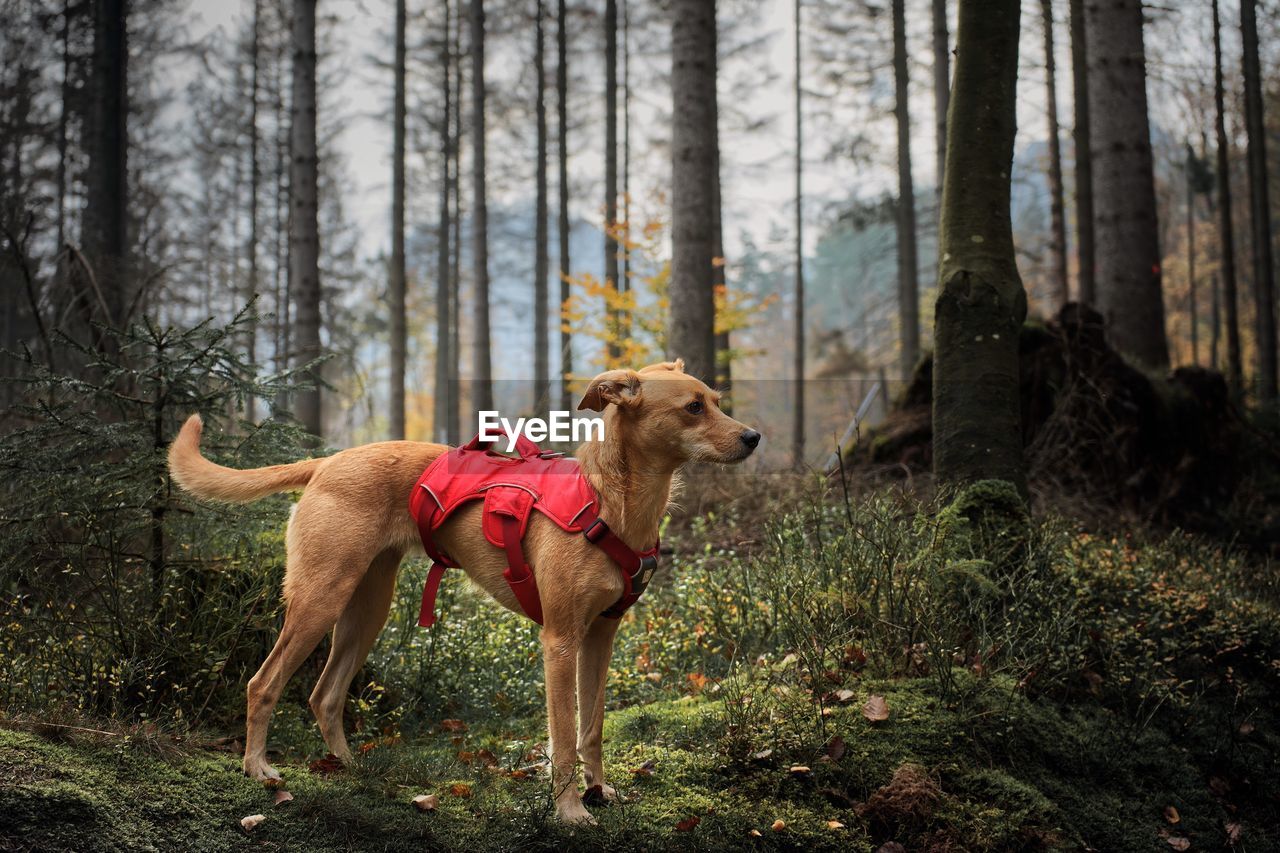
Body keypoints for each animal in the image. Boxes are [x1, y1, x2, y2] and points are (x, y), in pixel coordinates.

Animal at [163, 356, 752, 819]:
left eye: (717, 402)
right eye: (693, 408)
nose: (754, 437)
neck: (611, 501)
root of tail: (328, 460)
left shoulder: (601, 636)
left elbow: (592, 729)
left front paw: (599, 792)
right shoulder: (560, 641)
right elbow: (563, 738)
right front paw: (570, 811)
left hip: (366, 608)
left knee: (324, 694)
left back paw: (351, 769)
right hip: (319, 599)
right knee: (263, 684)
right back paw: (258, 768)